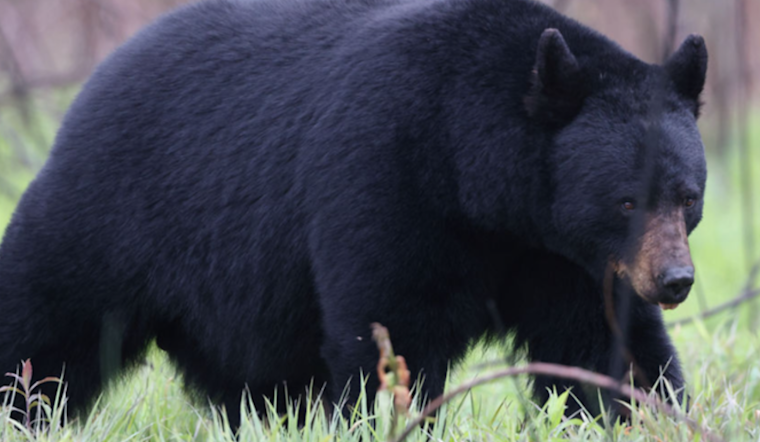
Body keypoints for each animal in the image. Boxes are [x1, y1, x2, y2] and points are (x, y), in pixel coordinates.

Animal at [0, 0, 707, 426]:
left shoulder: (562, 257)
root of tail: (96, 80)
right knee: (46, 317)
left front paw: (651, 413)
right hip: (111, 210)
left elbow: (602, 344)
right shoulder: (387, 176)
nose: (675, 280)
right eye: (625, 199)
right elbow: (390, 325)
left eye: (688, 197)